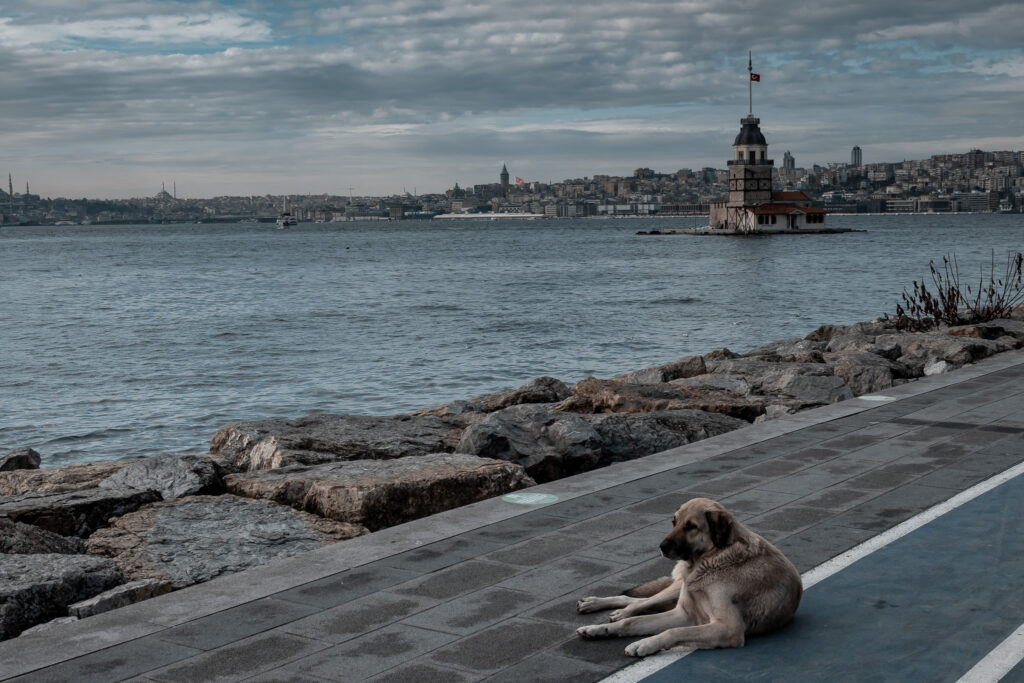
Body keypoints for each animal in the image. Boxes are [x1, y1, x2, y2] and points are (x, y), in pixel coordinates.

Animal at [577, 497, 798, 655]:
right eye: (673, 522)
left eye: (691, 526)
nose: (662, 547)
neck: (713, 558)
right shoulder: (683, 613)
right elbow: (632, 623)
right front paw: (601, 630)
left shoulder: (727, 628)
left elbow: (674, 631)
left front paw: (644, 644)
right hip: (675, 589)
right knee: (639, 601)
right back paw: (598, 608)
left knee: (641, 601)